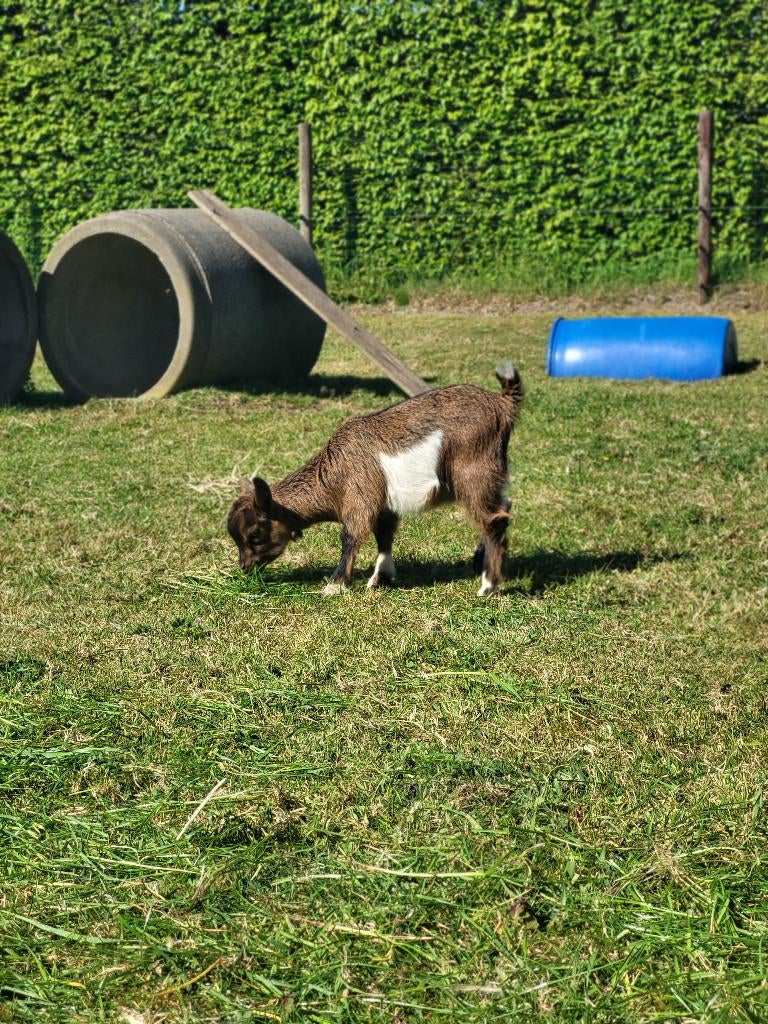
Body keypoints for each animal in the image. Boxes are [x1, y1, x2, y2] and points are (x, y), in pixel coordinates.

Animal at [227, 363, 523, 596]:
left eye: (255, 533)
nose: (245, 568)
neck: (333, 475)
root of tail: (502, 404)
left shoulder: (361, 497)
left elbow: (351, 536)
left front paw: (335, 585)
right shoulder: (384, 504)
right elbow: (384, 534)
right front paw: (381, 577)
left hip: (473, 471)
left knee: (493, 520)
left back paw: (489, 585)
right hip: (494, 473)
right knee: (503, 507)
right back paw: (480, 561)